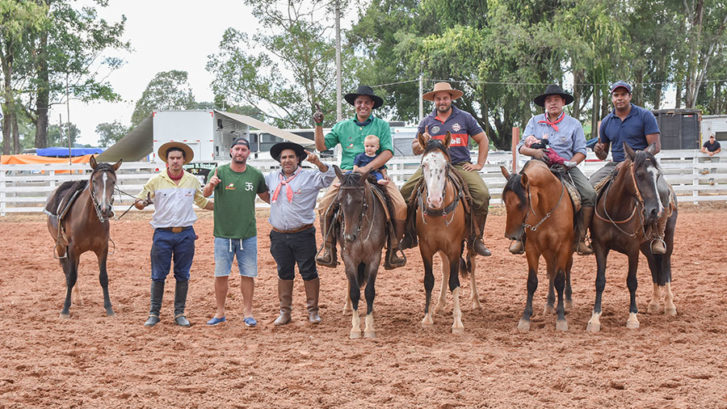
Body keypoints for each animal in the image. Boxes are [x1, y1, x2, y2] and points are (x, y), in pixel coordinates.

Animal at [46, 155, 122, 318]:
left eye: (113, 181)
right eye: (94, 181)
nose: (104, 209)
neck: (90, 221)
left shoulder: (102, 249)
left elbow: (103, 277)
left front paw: (109, 308)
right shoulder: (72, 249)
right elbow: (71, 277)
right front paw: (65, 309)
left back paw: (78, 299)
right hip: (61, 246)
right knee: (67, 271)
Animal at [334, 164, 390, 336]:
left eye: (360, 201)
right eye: (339, 200)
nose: (348, 236)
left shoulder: (374, 258)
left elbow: (370, 291)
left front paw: (369, 327)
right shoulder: (348, 257)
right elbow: (354, 291)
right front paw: (355, 328)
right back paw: (347, 307)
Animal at [412, 132, 480, 334]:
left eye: (447, 165)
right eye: (423, 164)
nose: (434, 200)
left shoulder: (454, 247)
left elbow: (454, 281)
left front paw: (457, 322)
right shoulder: (426, 248)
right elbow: (429, 280)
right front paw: (427, 318)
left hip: (470, 242)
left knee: (472, 266)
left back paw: (476, 301)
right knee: (445, 268)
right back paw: (440, 304)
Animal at [500, 159, 576, 332]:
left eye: (520, 204)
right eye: (505, 202)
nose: (510, 235)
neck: (547, 207)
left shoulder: (563, 247)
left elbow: (560, 280)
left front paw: (561, 318)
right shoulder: (532, 248)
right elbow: (532, 282)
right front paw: (525, 318)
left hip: (567, 250)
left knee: (566, 269)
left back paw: (568, 301)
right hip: (548, 251)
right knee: (551, 271)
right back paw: (549, 303)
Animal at [584, 143, 676, 332]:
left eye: (657, 175)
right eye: (639, 175)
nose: (655, 210)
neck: (616, 210)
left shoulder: (633, 249)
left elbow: (632, 281)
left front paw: (633, 317)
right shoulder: (600, 246)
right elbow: (600, 281)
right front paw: (595, 319)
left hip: (667, 241)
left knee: (665, 268)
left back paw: (670, 306)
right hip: (647, 246)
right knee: (654, 269)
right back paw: (654, 304)